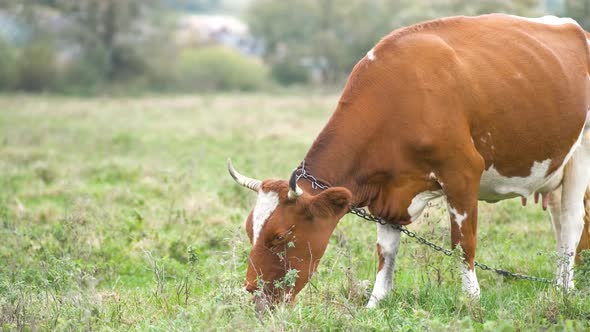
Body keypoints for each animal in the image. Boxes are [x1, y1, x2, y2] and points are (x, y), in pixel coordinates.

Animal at [228, 13, 590, 308]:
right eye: (249, 230)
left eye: (280, 236)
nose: (250, 289)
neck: (397, 98)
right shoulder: (389, 192)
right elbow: (385, 252)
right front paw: (375, 303)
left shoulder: (462, 173)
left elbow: (463, 243)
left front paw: (472, 301)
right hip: (554, 170)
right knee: (559, 222)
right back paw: (561, 284)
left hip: (581, 154)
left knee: (572, 221)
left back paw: (564, 292)